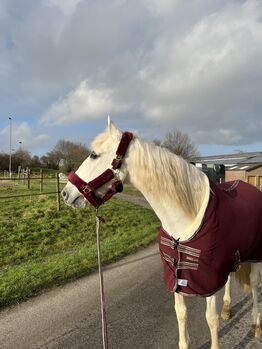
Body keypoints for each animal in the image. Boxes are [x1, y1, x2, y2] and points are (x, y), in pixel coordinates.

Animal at [62, 117, 262, 348]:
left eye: (94, 154)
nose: (66, 194)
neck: (185, 221)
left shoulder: (208, 279)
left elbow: (210, 319)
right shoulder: (177, 275)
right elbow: (181, 314)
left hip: (256, 257)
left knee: (255, 286)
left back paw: (256, 325)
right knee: (230, 279)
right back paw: (228, 310)